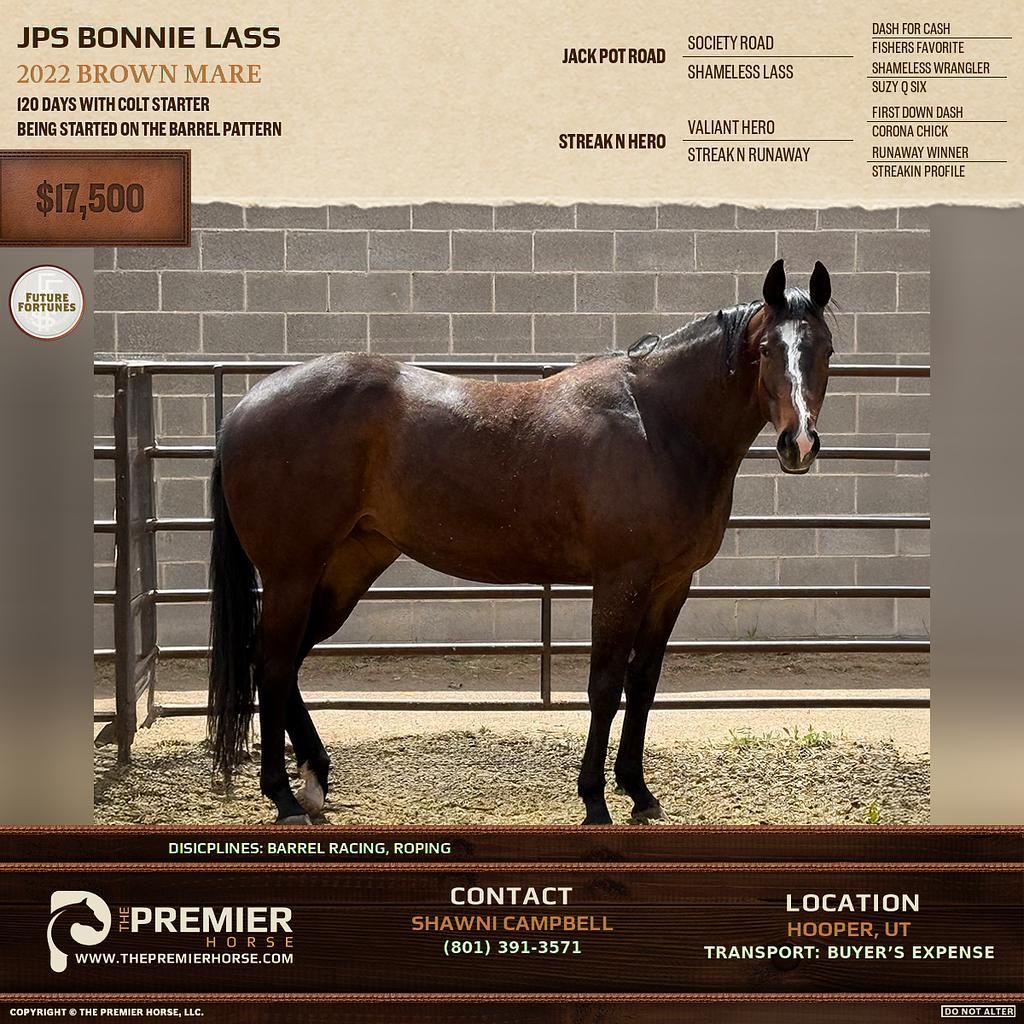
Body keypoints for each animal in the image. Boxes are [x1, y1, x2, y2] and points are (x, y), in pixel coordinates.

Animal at [207, 258, 834, 825]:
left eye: (825, 349)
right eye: (768, 350)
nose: (799, 444)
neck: (659, 424)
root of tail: (245, 409)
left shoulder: (670, 585)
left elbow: (643, 684)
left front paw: (639, 793)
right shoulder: (621, 580)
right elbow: (605, 685)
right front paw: (596, 802)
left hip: (346, 568)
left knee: (286, 663)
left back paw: (314, 780)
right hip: (292, 573)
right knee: (271, 663)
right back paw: (283, 797)